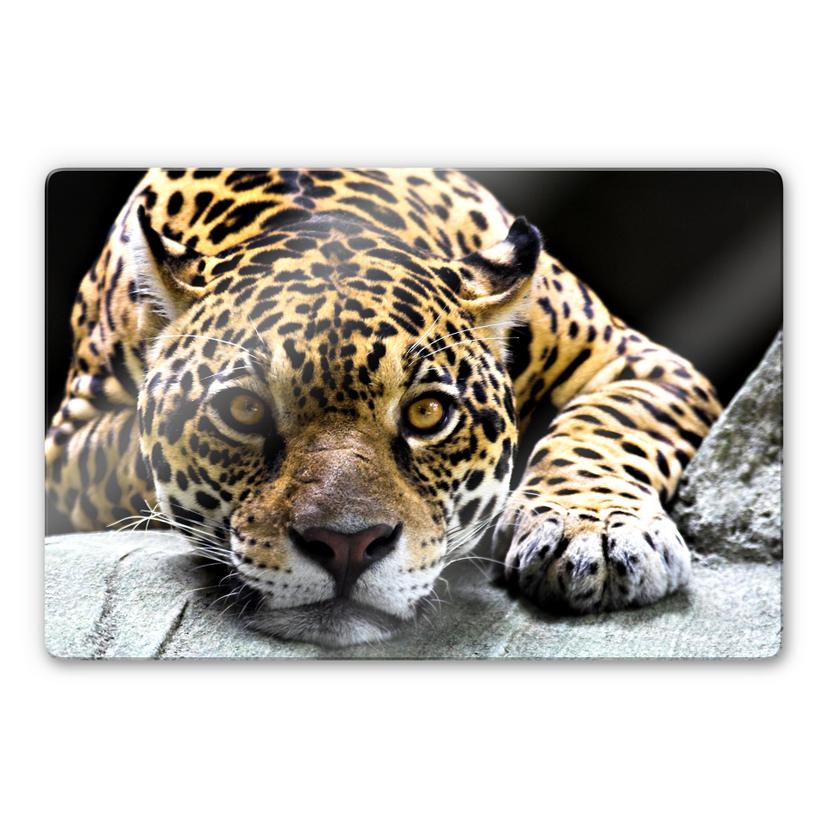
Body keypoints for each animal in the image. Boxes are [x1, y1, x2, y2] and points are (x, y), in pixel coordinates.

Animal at [45, 168, 722, 646]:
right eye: (243, 412)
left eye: (428, 414)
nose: (347, 546)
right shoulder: (69, 447)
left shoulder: (636, 362)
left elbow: (603, 431)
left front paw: (595, 537)